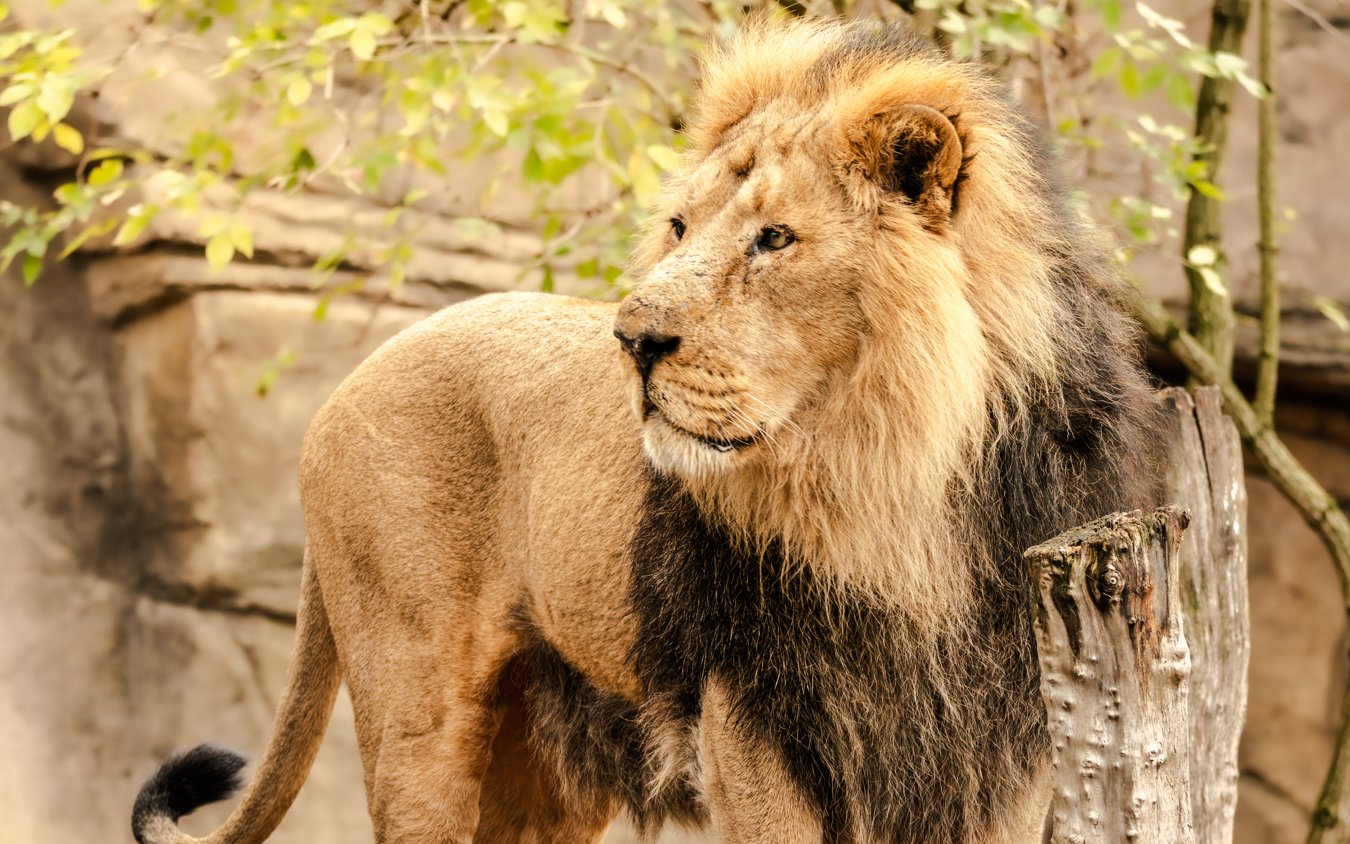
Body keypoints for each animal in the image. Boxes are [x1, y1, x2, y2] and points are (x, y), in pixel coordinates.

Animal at [131, 17, 1160, 844]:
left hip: (544, 760)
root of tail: (344, 389)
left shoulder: (1002, 743)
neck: (890, 485)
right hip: (416, 706)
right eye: (677, 227)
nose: (632, 339)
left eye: (773, 238)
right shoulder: (757, 719)